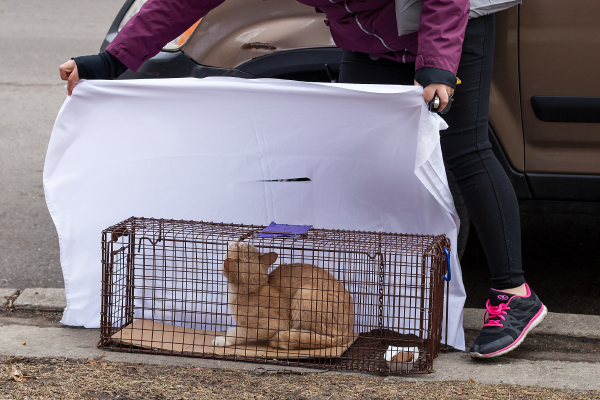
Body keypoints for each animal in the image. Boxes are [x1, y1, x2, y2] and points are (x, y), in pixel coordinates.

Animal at [212, 241, 355, 350]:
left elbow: (244, 332)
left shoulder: (274, 324)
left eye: (237, 246)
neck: (253, 289)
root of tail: (351, 329)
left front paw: (223, 339)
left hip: (305, 292)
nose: (238, 240)